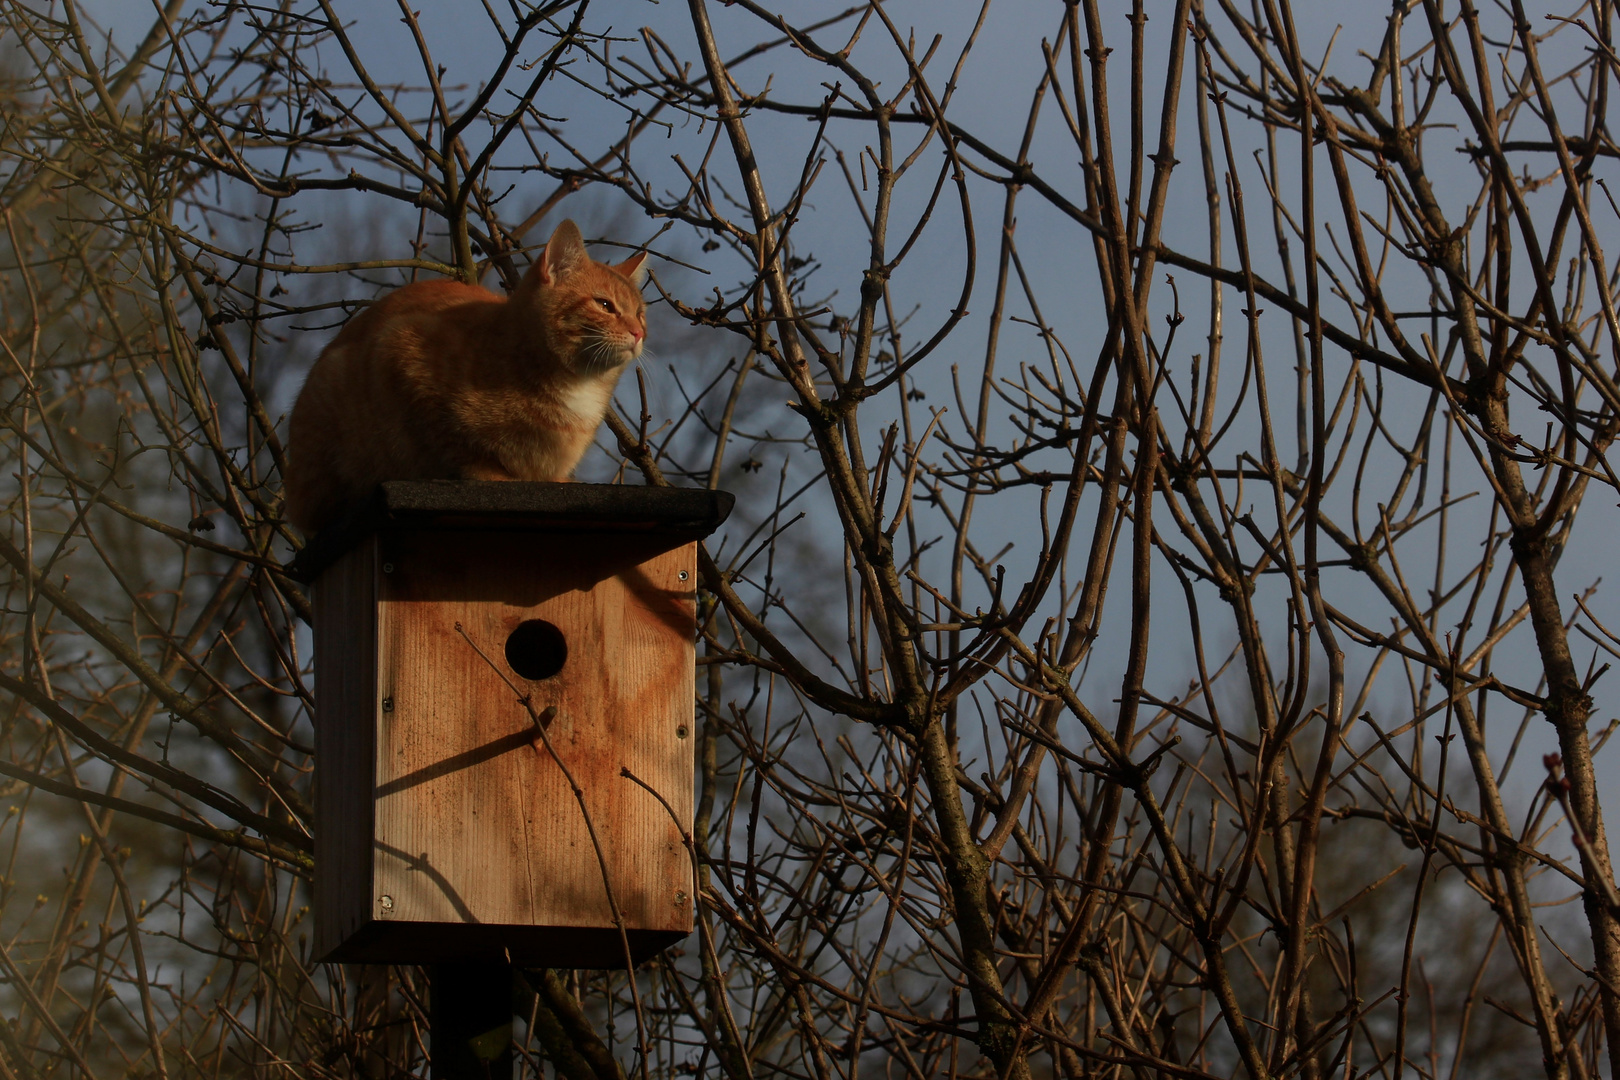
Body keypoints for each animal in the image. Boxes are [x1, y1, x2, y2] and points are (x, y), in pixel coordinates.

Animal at [285, 221, 644, 534]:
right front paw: (490, 474)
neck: (575, 387)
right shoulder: (400, 352)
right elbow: (458, 448)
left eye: (640, 313)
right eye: (605, 305)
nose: (639, 332)